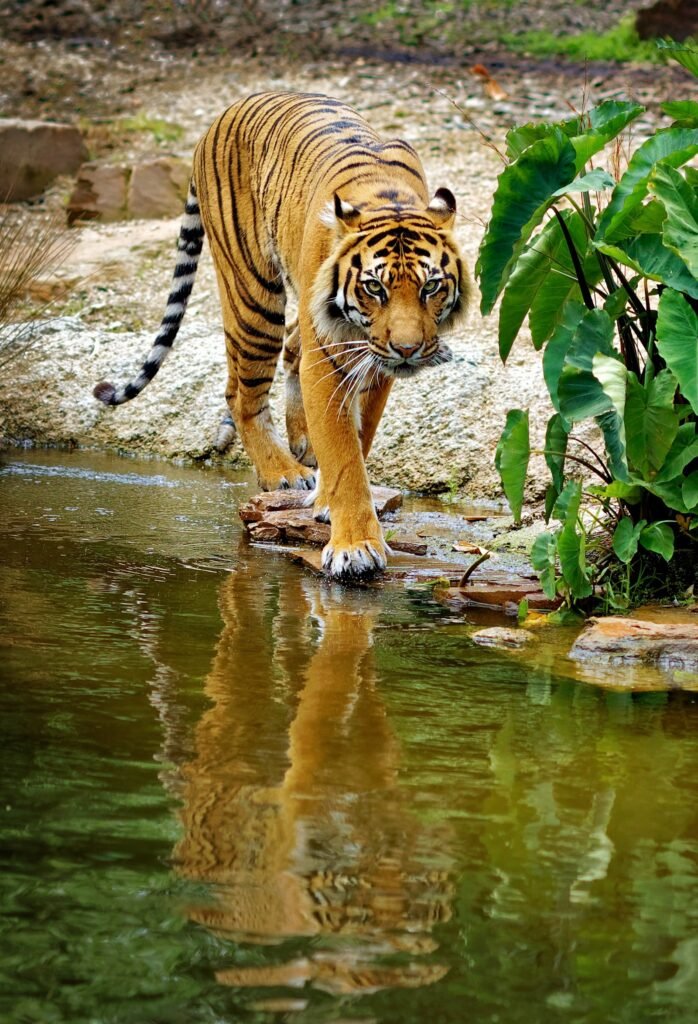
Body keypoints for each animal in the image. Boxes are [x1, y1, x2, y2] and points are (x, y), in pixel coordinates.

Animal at [93, 91, 471, 578]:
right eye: (375, 287)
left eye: (431, 286)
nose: (407, 350)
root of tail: (221, 116)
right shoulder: (331, 353)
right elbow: (345, 456)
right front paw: (354, 546)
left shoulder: (373, 364)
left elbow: (358, 437)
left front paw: (332, 499)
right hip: (253, 296)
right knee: (242, 393)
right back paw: (282, 472)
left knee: (284, 359)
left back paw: (301, 444)